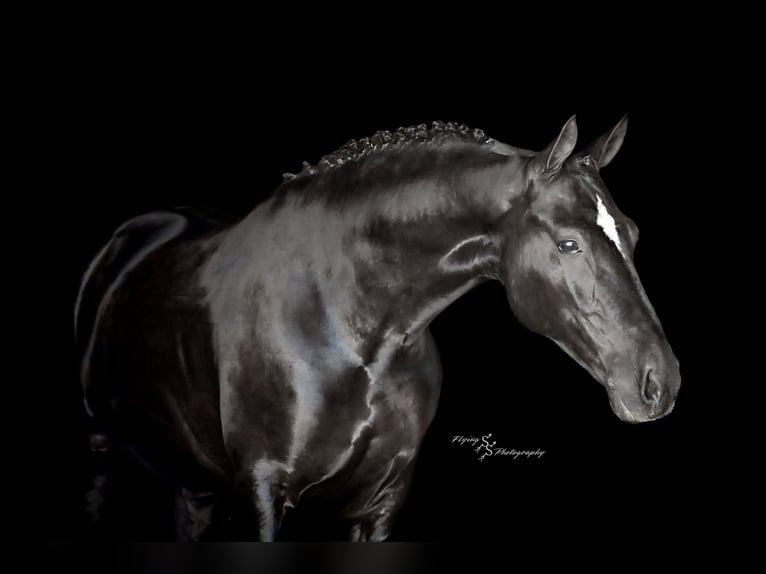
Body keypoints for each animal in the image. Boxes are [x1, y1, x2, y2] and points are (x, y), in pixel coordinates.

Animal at [75, 116, 681, 541]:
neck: (348, 330)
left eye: (632, 232)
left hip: (191, 483)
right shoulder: (261, 492)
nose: (660, 382)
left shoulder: (383, 501)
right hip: (103, 452)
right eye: (568, 243)